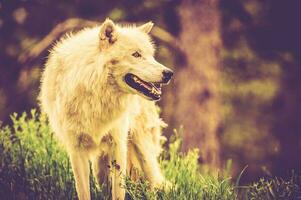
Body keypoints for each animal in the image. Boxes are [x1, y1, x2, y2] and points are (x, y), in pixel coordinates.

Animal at [39, 18, 173, 200]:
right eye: (136, 54)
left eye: (151, 55)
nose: (169, 73)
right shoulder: (76, 150)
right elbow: (84, 192)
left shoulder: (118, 144)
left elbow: (118, 192)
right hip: (99, 167)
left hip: (142, 151)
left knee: (153, 184)